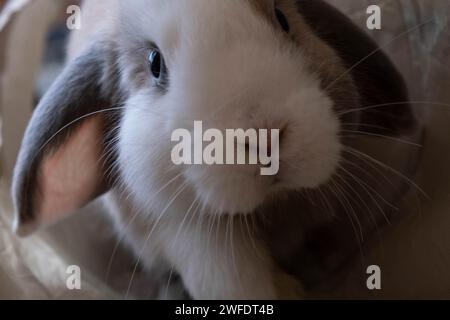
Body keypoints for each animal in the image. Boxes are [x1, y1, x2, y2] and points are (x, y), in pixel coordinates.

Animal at [11, 0, 418, 300]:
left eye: (283, 19)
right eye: (155, 64)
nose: (265, 138)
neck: (273, 206)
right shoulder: (190, 233)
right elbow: (237, 281)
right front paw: (288, 290)